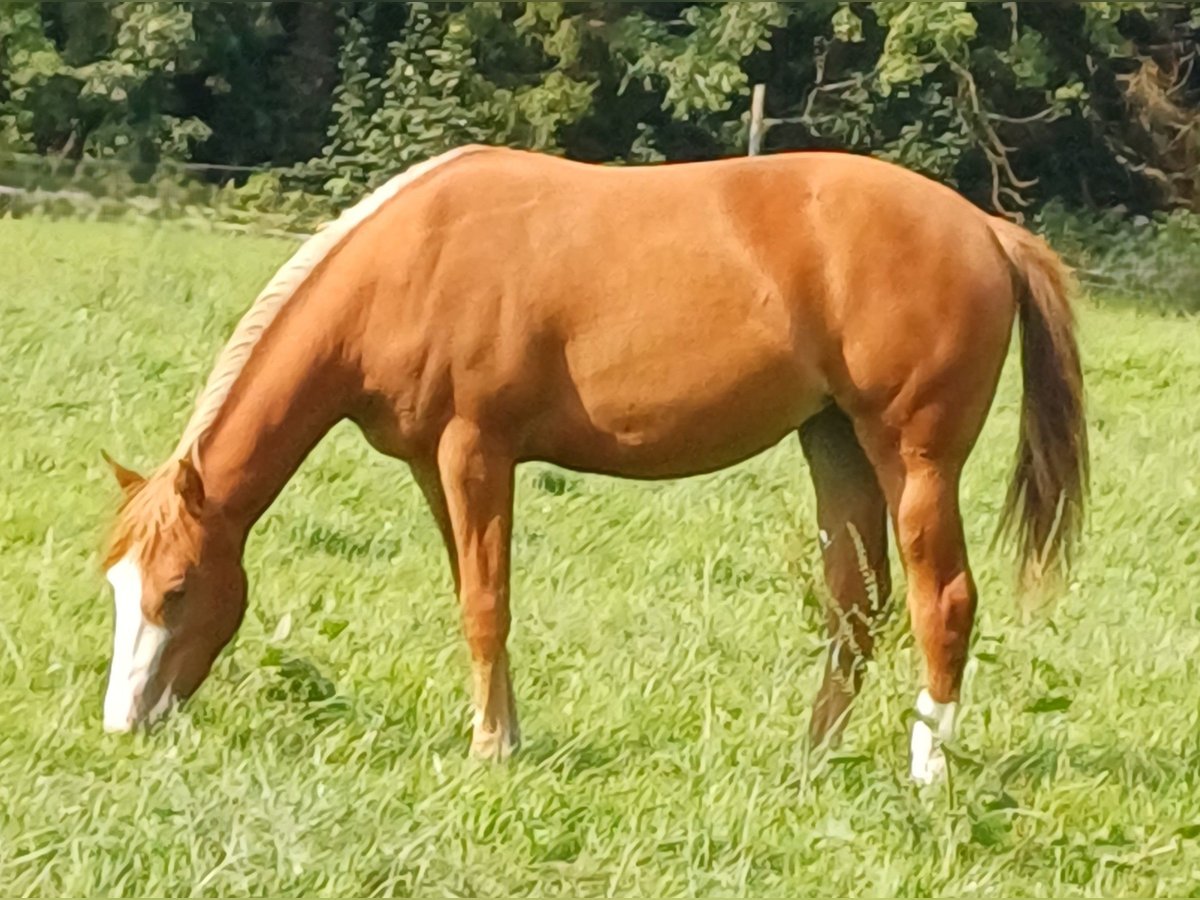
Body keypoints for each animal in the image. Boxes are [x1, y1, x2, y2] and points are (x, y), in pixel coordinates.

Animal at [101, 145, 1086, 782]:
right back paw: (811, 761)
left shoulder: (477, 451)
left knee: (941, 601)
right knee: (857, 602)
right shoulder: (434, 465)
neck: (412, 262)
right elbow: (472, 594)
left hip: (913, 458)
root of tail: (986, 228)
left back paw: (928, 773)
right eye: (116, 585)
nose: (123, 725)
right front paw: (503, 736)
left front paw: (489, 752)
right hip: (835, 442)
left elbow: (486, 604)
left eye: (178, 589)